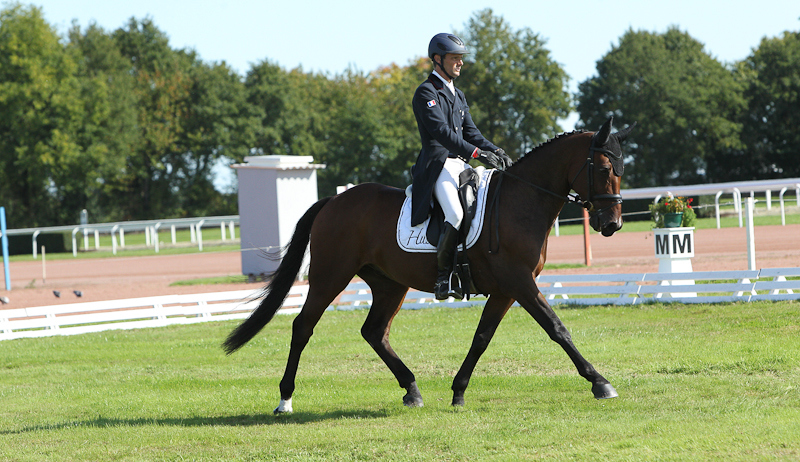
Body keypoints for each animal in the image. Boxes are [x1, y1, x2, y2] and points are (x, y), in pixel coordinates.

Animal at [222, 115, 636, 412]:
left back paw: (412, 389)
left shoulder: (506, 290)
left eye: (622, 171)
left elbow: (482, 338)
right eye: (603, 169)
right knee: (303, 327)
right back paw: (285, 399)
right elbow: (557, 329)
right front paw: (600, 382)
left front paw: (458, 392)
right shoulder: (520, 283)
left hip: (389, 284)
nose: (612, 224)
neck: (520, 203)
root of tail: (333, 201)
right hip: (330, 276)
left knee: (374, 332)